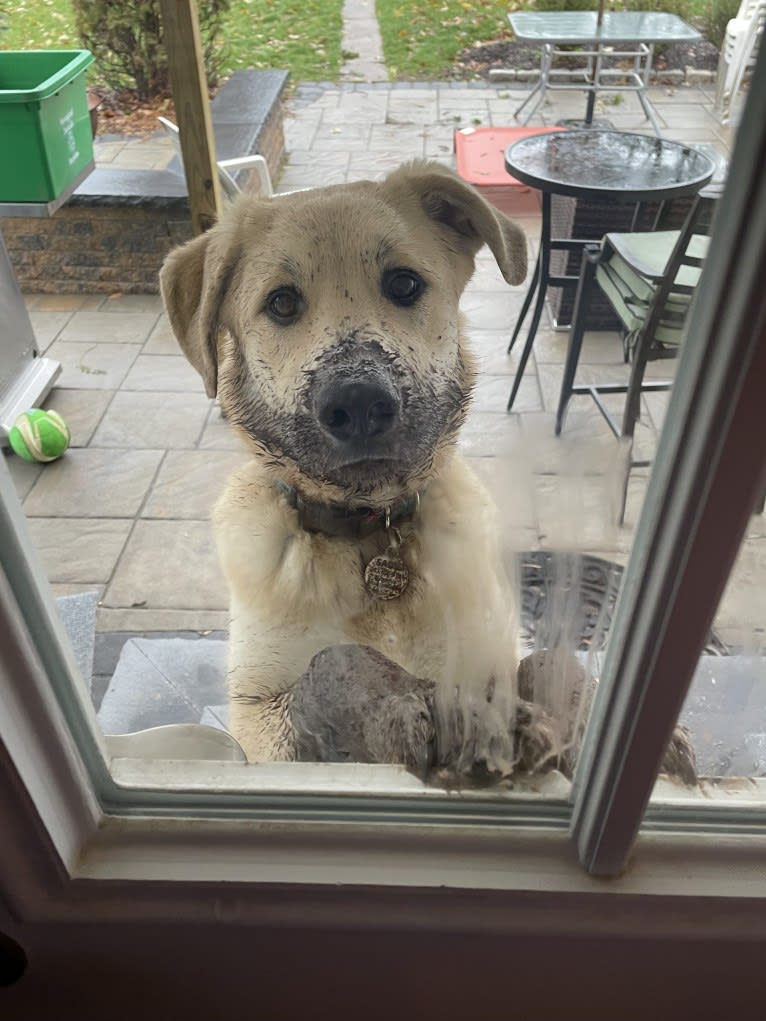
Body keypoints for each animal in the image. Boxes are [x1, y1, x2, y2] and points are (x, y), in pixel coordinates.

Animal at [162, 159, 535, 767]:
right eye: (281, 303)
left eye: (404, 284)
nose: (358, 404)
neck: (368, 538)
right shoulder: (255, 706)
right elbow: (317, 685)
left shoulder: (490, 663)